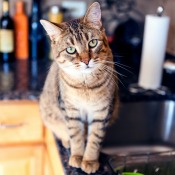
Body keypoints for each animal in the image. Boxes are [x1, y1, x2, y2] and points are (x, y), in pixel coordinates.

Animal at [39, 2, 118, 174]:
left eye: (92, 43)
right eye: (71, 50)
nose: (86, 61)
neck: (85, 86)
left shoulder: (103, 111)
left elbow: (95, 139)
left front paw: (89, 160)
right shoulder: (70, 109)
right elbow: (76, 134)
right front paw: (77, 156)